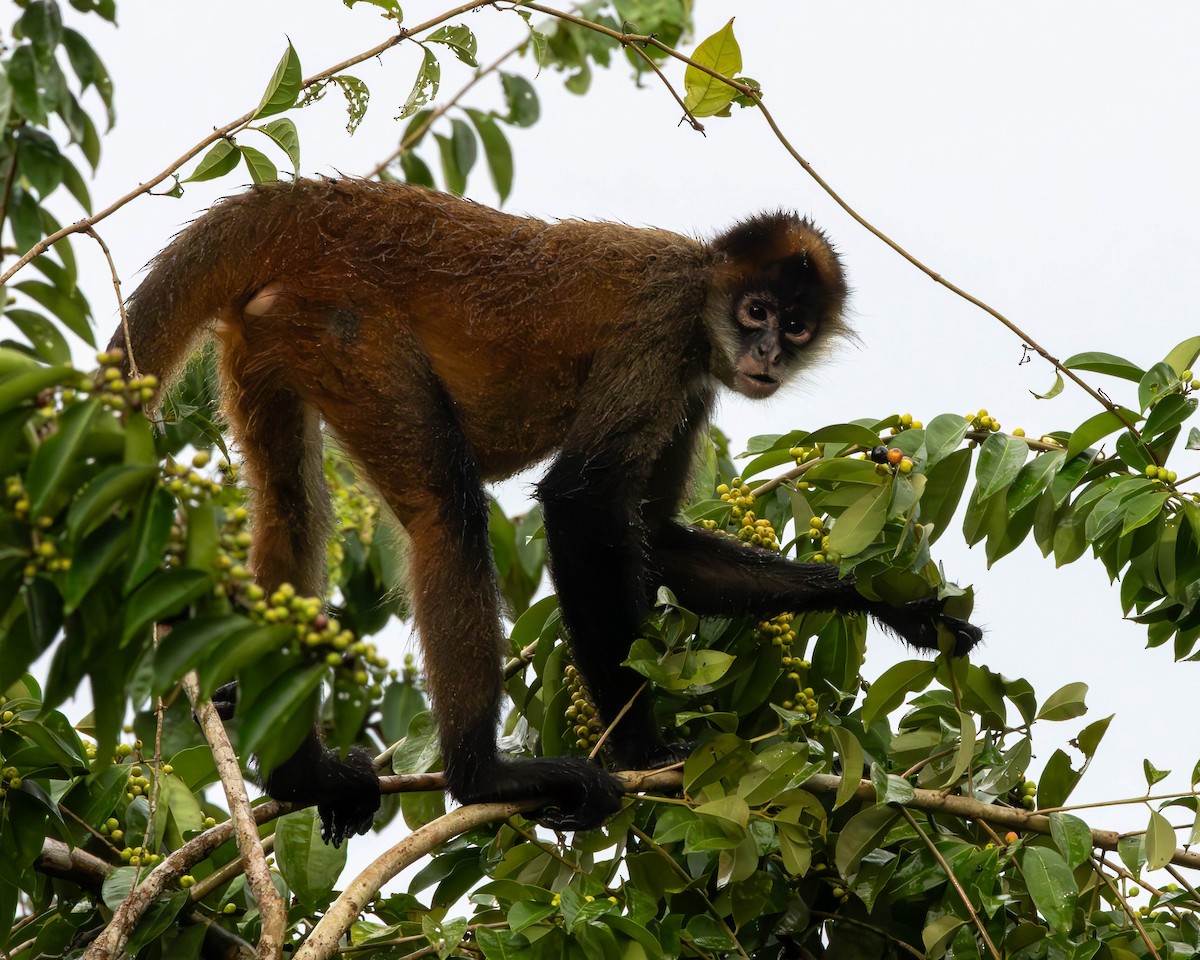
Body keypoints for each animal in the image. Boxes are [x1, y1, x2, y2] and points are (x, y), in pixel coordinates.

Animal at [110, 177, 981, 846]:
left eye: (795, 326)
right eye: (756, 312)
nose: (766, 356)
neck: (702, 287)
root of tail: (315, 206)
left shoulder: (695, 379)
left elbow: (656, 539)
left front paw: (898, 606)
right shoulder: (665, 333)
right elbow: (578, 504)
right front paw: (644, 752)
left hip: (275, 332)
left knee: (293, 507)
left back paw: (300, 774)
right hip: (346, 330)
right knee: (446, 508)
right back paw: (481, 778)